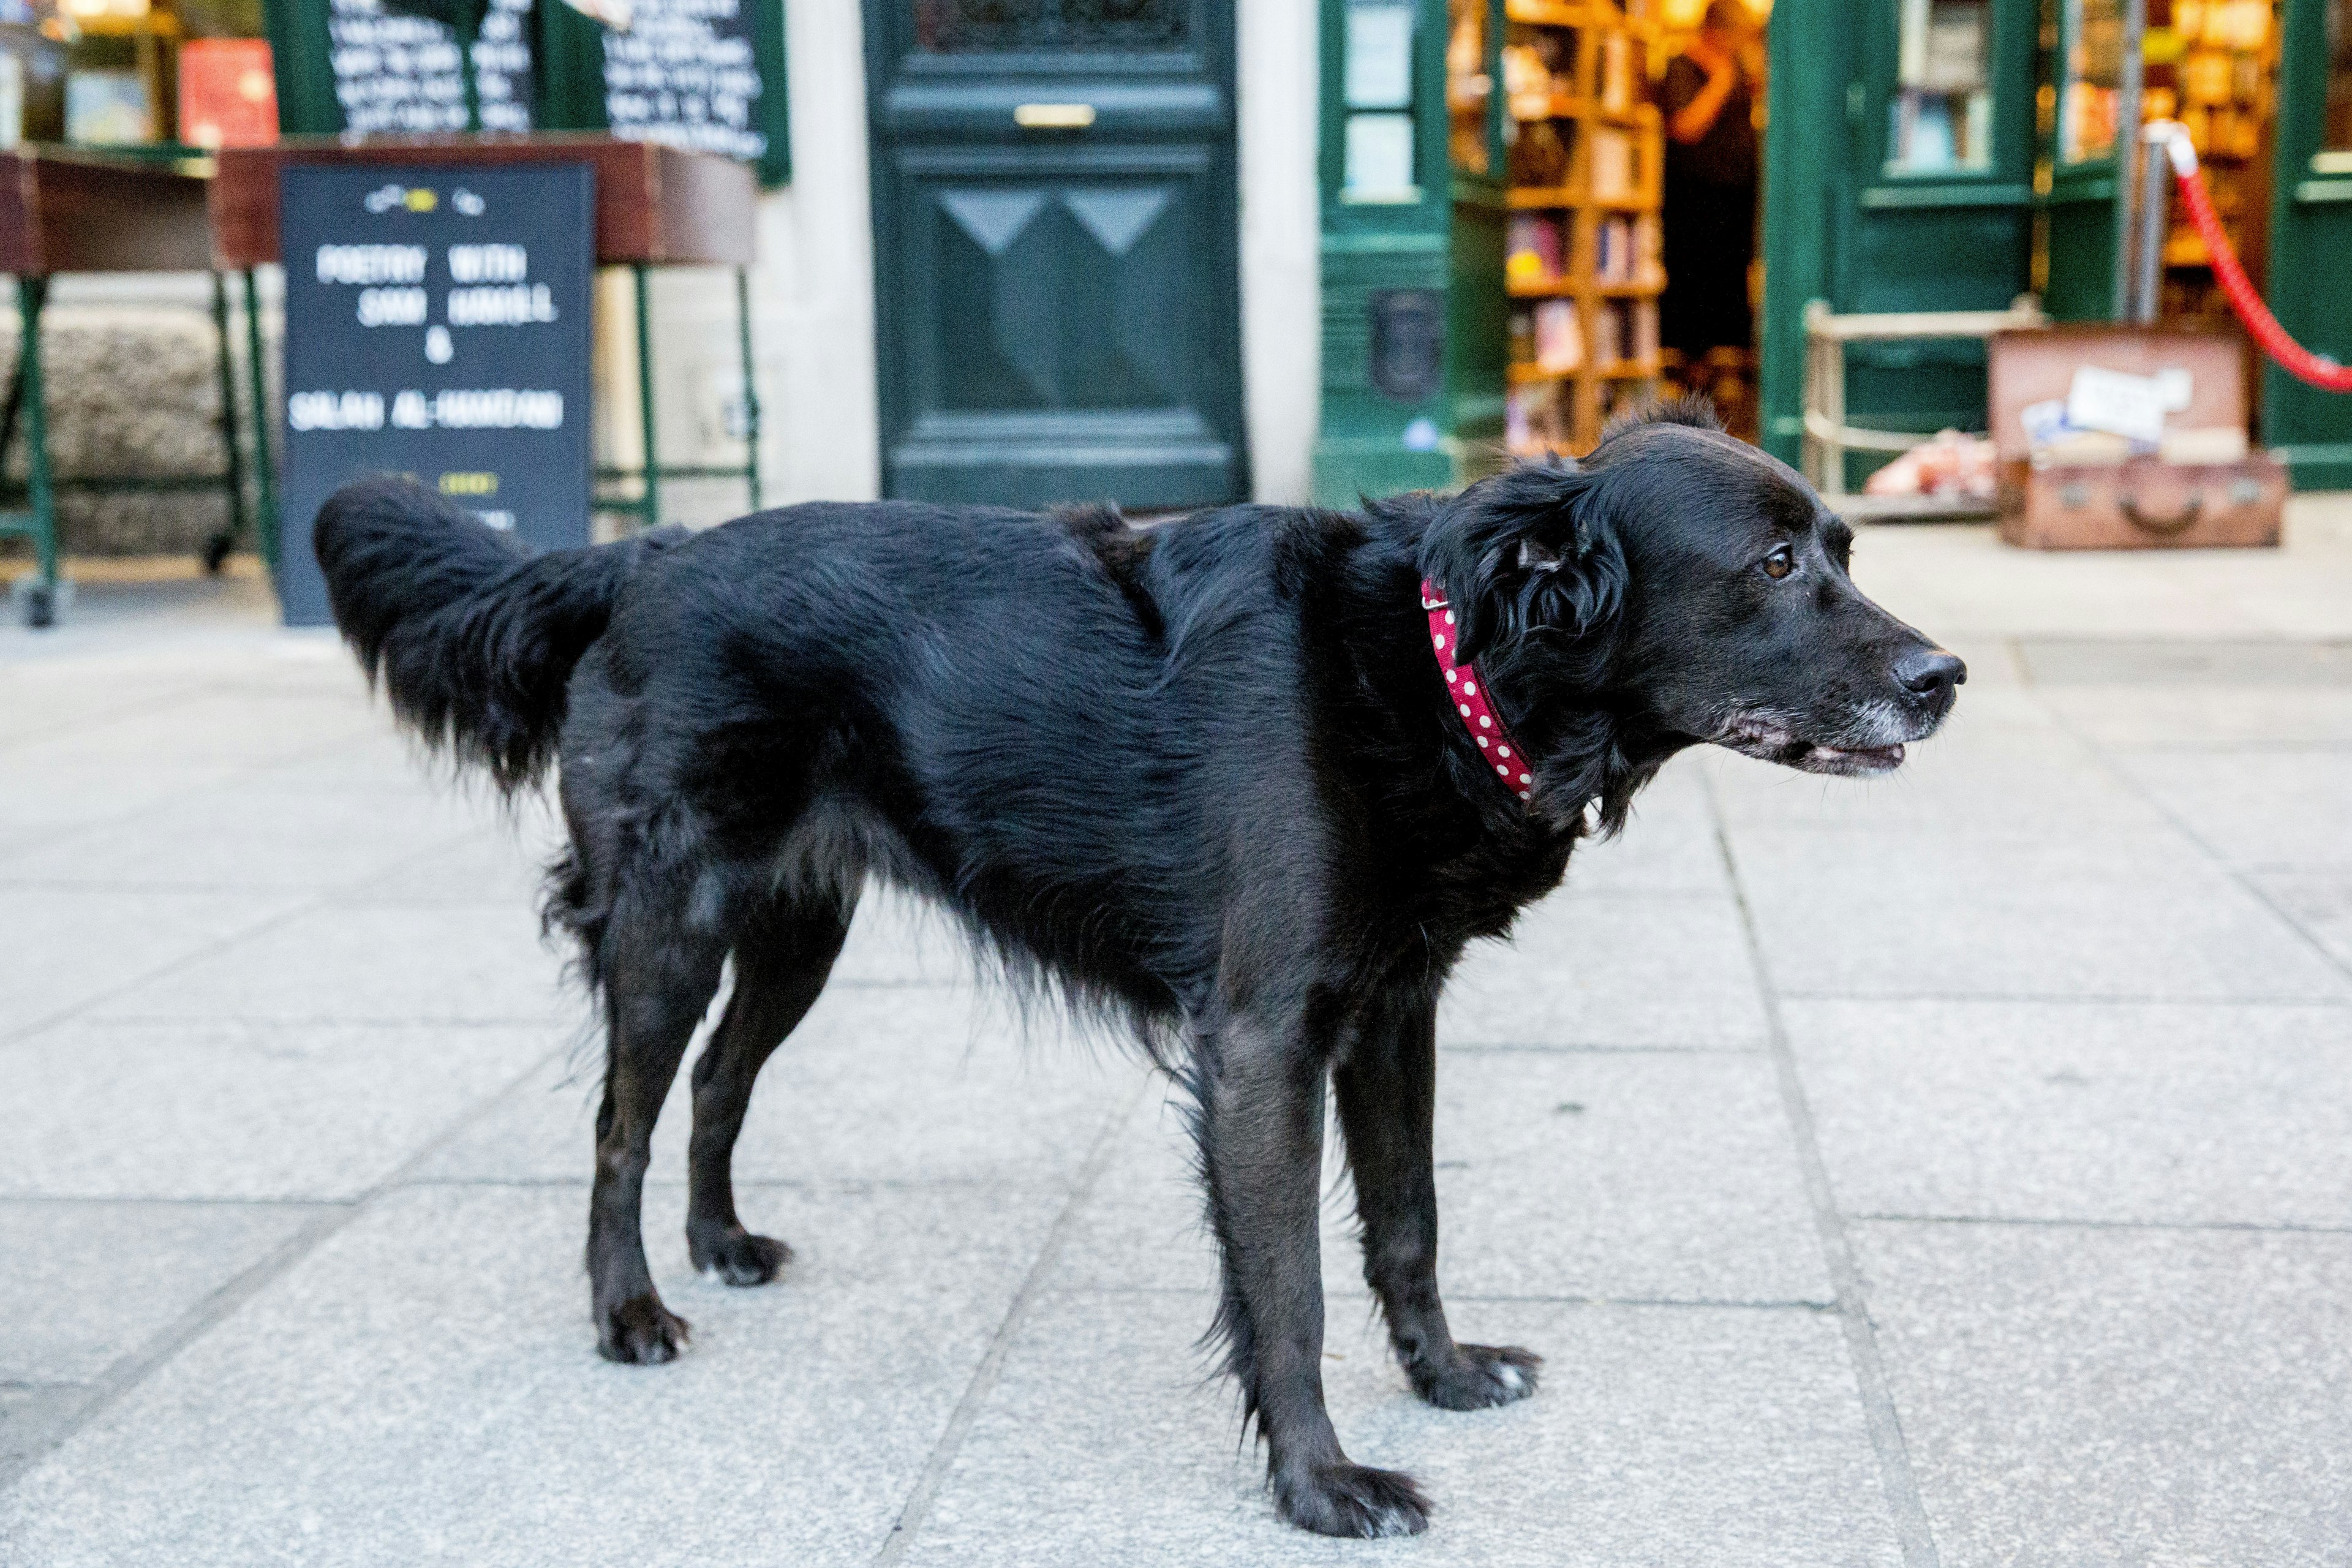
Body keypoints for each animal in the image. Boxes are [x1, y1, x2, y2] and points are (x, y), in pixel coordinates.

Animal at [312, 404, 1966, 1542]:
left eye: (1844, 550)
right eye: (1772, 564)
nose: (1944, 677)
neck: (1435, 668)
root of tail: (639, 554)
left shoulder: (1393, 1014)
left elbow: (1407, 1224)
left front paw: (1442, 1374)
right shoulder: (1261, 1042)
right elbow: (1288, 1285)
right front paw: (1322, 1484)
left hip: (796, 925)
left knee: (718, 1079)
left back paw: (719, 1242)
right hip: (671, 919)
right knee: (621, 1119)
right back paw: (631, 1310)